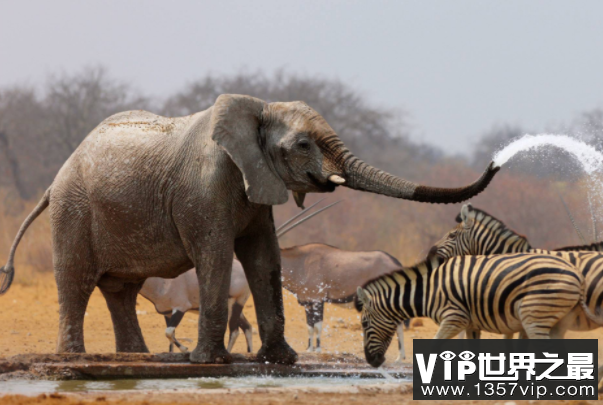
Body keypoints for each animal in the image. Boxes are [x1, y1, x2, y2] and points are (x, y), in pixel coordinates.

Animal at [0, 94, 500, 362]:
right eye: (303, 145)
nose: (497, 160)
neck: (258, 108)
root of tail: (55, 179)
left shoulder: (258, 184)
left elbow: (264, 257)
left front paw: (281, 360)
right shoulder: (204, 188)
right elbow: (217, 255)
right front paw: (209, 362)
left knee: (121, 290)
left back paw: (136, 358)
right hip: (73, 209)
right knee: (76, 281)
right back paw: (74, 358)